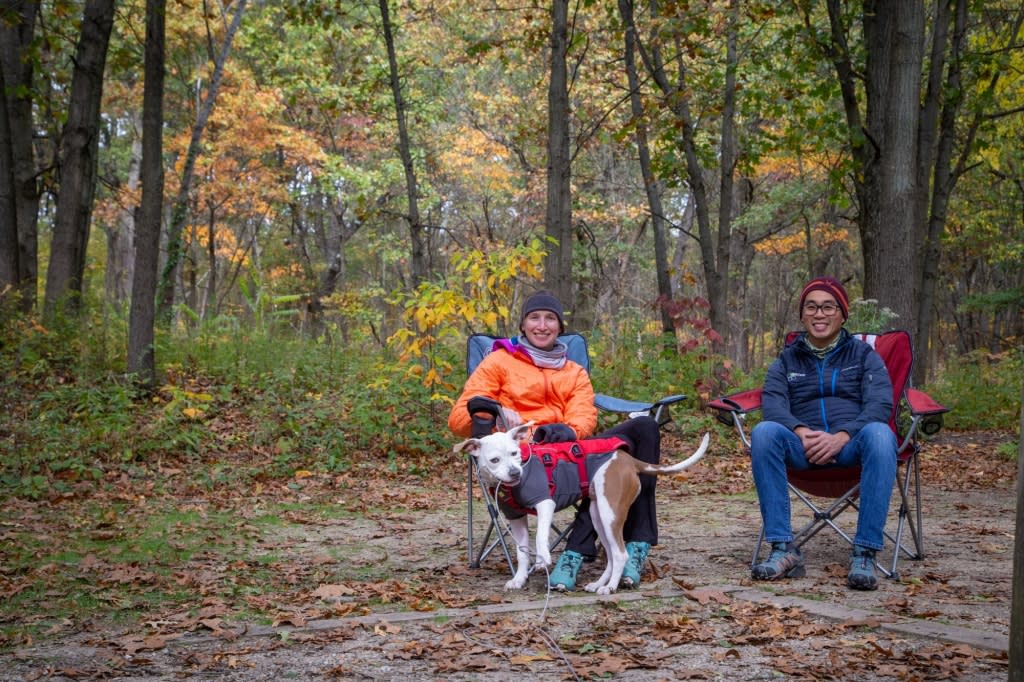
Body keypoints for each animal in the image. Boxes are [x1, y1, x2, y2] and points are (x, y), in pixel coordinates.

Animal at [452, 421, 708, 593]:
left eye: (514, 453)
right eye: (495, 460)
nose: (515, 472)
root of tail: (627, 459)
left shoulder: (545, 504)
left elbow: (540, 536)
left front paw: (542, 560)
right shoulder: (516, 520)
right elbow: (521, 553)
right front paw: (519, 579)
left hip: (609, 512)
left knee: (620, 554)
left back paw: (610, 588)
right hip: (598, 516)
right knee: (612, 555)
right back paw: (599, 584)